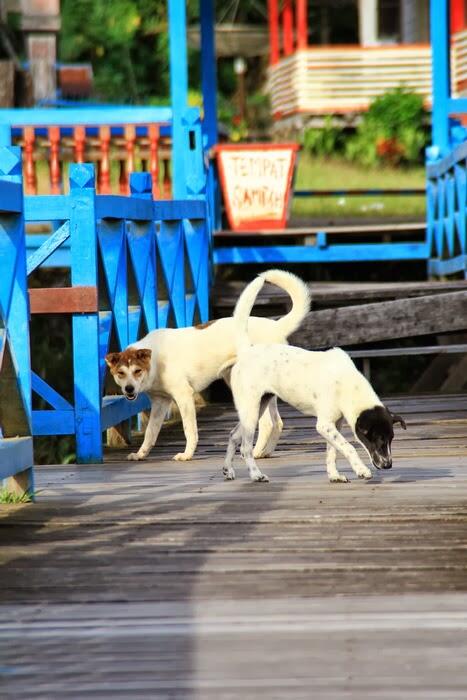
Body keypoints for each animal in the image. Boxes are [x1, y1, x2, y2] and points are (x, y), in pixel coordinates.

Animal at [105, 270, 310, 462]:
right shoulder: (160, 403)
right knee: (277, 423)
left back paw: (255, 452)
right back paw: (264, 452)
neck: (155, 361)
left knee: (267, 424)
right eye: (120, 373)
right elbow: (150, 433)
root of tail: (276, 326)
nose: (129, 389)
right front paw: (140, 454)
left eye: (137, 371)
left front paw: (187, 454)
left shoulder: (184, 396)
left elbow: (189, 430)